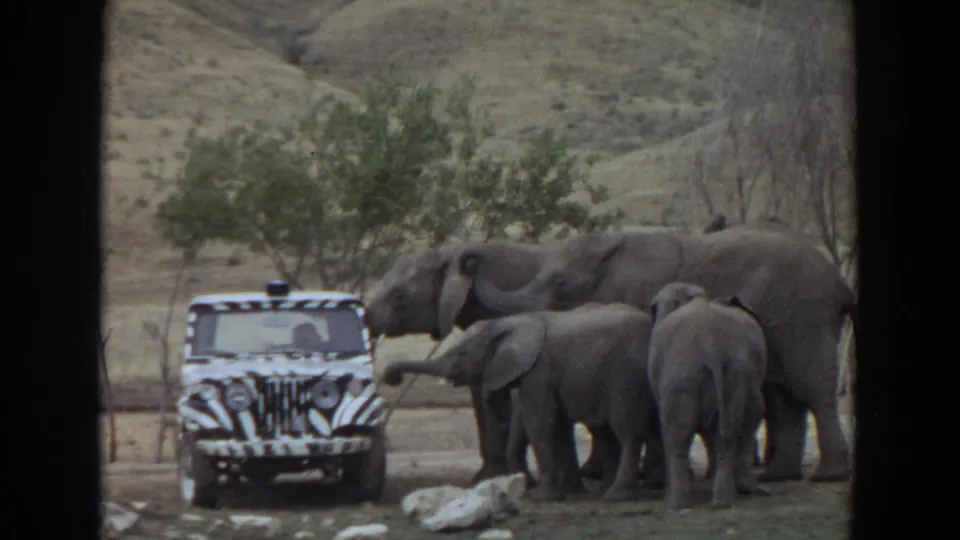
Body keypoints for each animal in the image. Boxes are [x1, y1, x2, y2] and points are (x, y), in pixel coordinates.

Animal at [363, 241, 620, 490]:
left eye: (399, 296)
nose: (392, 378)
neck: (449, 254)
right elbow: (481, 393)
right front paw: (485, 477)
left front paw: (499, 477)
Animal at [380, 303, 658, 502]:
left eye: (462, 353)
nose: (392, 376)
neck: (510, 322)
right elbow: (557, 427)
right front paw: (566, 493)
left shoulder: (538, 372)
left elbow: (541, 424)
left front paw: (542, 497)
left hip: (624, 374)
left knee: (627, 431)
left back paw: (616, 495)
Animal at [459, 226, 858, 483]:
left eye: (561, 285)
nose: (469, 260)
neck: (615, 245)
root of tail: (841, 285)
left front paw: (649, 477)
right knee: (785, 397)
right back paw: (778, 477)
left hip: (802, 316)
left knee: (812, 389)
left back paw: (828, 476)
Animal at [647, 282, 771, 509]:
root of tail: (713, 348)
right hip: (733, 377)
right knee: (726, 434)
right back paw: (722, 501)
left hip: (682, 377)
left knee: (677, 436)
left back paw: (676, 504)